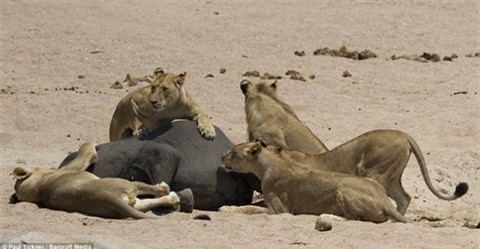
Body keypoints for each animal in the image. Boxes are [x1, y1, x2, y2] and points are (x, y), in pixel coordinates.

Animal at [10, 143, 193, 219]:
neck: (38, 187)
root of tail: (109, 198)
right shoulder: (77, 164)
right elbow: (87, 149)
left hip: (133, 204)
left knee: (151, 202)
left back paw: (174, 199)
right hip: (127, 183)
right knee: (156, 191)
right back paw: (167, 190)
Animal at [219, 141, 410, 225]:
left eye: (234, 152)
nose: (221, 156)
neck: (267, 164)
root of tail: (386, 203)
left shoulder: (278, 210)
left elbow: (249, 209)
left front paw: (226, 208)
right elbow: (252, 205)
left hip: (343, 186)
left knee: (354, 219)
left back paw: (325, 216)